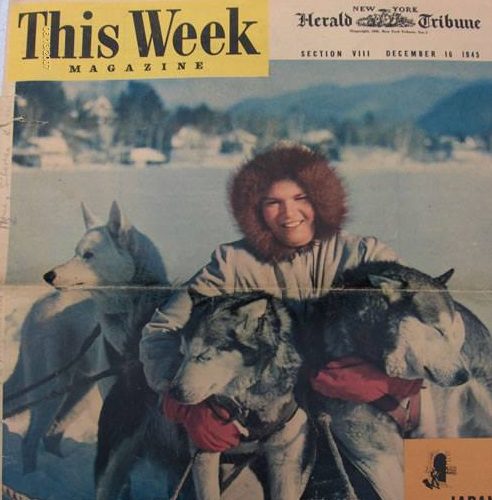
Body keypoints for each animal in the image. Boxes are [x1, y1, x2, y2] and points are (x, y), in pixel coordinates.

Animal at [2, 202, 170, 472]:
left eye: (88, 255)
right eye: (75, 252)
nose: (48, 275)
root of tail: (42, 302)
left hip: (80, 393)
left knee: (51, 434)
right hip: (52, 389)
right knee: (30, 441)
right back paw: (32, 475)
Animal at [94, 292, 314, 500]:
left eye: (204, 356)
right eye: (182, 353)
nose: (173, 393)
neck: (246, 407)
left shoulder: (286, 454)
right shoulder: (204, 454)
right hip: (115, 458)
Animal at [310, 262, 490, 500]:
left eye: (454, 334)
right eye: (438, 330)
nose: (464, 375)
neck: (385, 380)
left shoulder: (425, 432)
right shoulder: (377, 460)